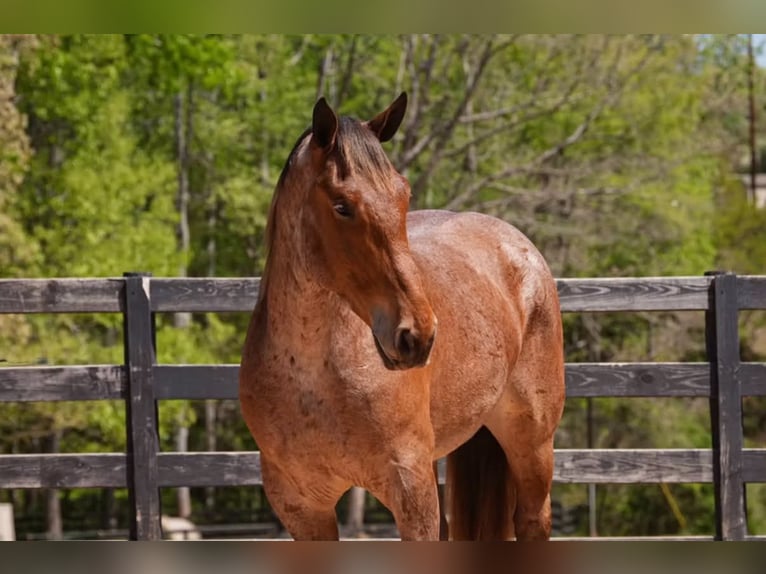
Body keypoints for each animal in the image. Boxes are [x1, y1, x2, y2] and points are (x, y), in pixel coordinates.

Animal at [239, 93, 565, 541]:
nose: (418, 334)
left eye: (403, 196)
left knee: (533, 519)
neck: (311, 374)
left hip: (531, 445)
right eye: (341, 206)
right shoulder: (302, 508)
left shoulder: (412, 492)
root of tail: (519, 246)